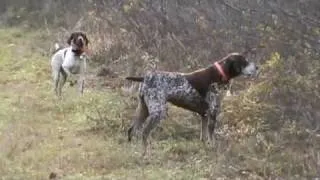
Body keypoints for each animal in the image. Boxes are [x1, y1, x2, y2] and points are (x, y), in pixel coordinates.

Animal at [126, 52, 258, 153]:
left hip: (143, 110)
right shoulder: (213, 111)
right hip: (158, 112)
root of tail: (145, 78)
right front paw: (213, 147)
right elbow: (211, 135)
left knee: (132, 130)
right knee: (144, 132)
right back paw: (146, 153)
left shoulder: (204, 115)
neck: (219, 73)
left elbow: (203, 136)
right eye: (245, 62)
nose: (257, 67)